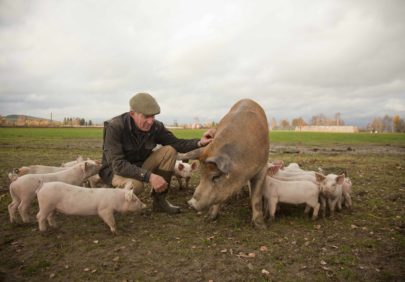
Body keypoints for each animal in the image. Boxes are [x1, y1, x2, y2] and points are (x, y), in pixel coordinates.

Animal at [177, 98, 268, 228]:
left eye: (216, 176)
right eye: (201, 175)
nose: (191, 203)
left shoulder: (263, 167)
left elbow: (256, 198)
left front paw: (261, 226)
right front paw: (209, 218)